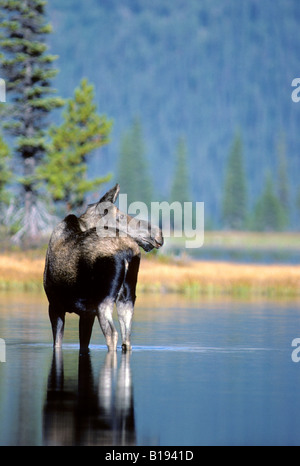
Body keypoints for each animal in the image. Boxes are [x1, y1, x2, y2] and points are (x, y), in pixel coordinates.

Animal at [43, 184, 163, 352]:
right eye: (119, 217)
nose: (158, 234)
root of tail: (127, 252)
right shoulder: (86, 313)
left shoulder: (55, 305)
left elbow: (57, 344)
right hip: (127, 297)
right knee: (127, 339)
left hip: (103, 299)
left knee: (112, 334)